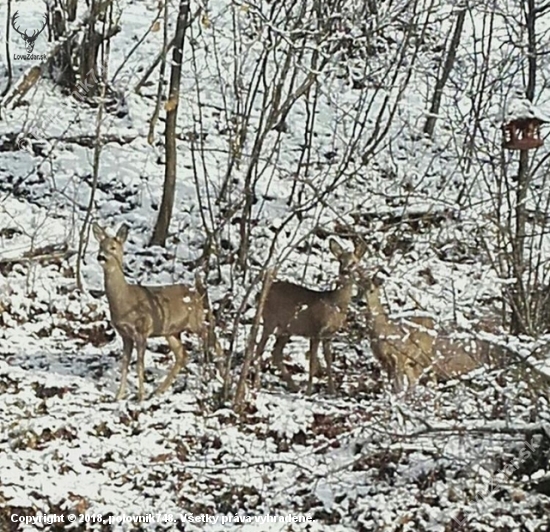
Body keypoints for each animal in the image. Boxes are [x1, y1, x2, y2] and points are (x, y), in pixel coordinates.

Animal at [91, 222, 212, 402]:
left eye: (112, 247)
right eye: (100, 246)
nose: (100, 257)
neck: (124, 300)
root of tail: (196, 293)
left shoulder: (142, 330)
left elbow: (139, 365)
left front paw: (140, 397)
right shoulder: (125, 334)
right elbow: (124, 364)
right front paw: (119, 396)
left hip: (195, 320)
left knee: (210, 336)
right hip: (171, 331)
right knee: (182, 355)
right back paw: (159, 390)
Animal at [256, 238, 368, 394]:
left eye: (353, 262)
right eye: (340, 260)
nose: (344, 271)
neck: (335, 305)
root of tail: (263, 291)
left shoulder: (329, 334)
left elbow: (328, 360)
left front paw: (332, 390)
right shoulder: (316, 330)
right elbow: (313, 361)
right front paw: (309, 391)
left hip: (287, 328)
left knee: (275, 352)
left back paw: (294, 386)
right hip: (270, 319)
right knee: (259, 348)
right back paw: (256, 384)